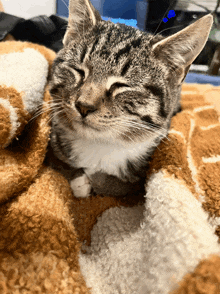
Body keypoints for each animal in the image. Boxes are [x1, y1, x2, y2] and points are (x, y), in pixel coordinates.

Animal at [47, 0, 213, 199]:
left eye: (121, 86)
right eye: (78, 71)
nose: (84, 106)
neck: (100, 144)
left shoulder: (141, 178)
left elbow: (121, 185)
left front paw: (92, 181)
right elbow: (61, 164)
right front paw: (78, 177)